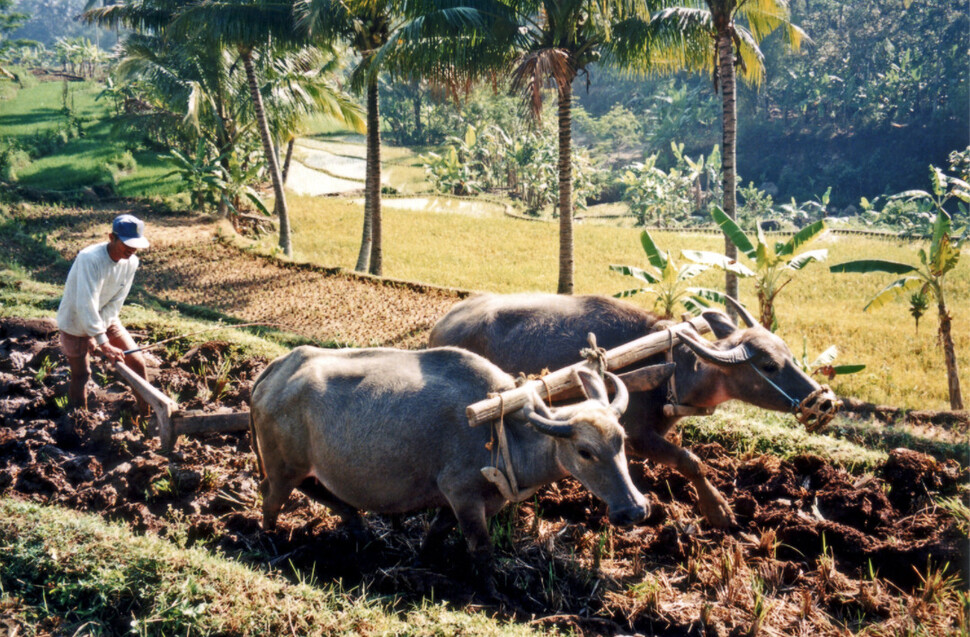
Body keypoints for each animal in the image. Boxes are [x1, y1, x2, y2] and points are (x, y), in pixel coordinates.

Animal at [250, 342, 648, 580]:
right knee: (271, 498)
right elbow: (481, 549)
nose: (636, 509)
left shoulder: (459, 501)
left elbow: (437, 531)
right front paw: (491, 592)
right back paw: (268, 541)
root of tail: (276, 369)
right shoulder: (464, 495)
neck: (504, 432)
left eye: (621, 441)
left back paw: (360, 529)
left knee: (317, 491)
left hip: (299, 467)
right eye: (585, 452)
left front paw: (423, 558)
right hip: (283, 465)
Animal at [426, 294, 840, 528]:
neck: (673, 369)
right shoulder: (640, 435)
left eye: (789, 353)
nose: (825, 402)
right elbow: (691, 461)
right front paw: (719, 511)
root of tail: (440, 325)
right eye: (769, 366)